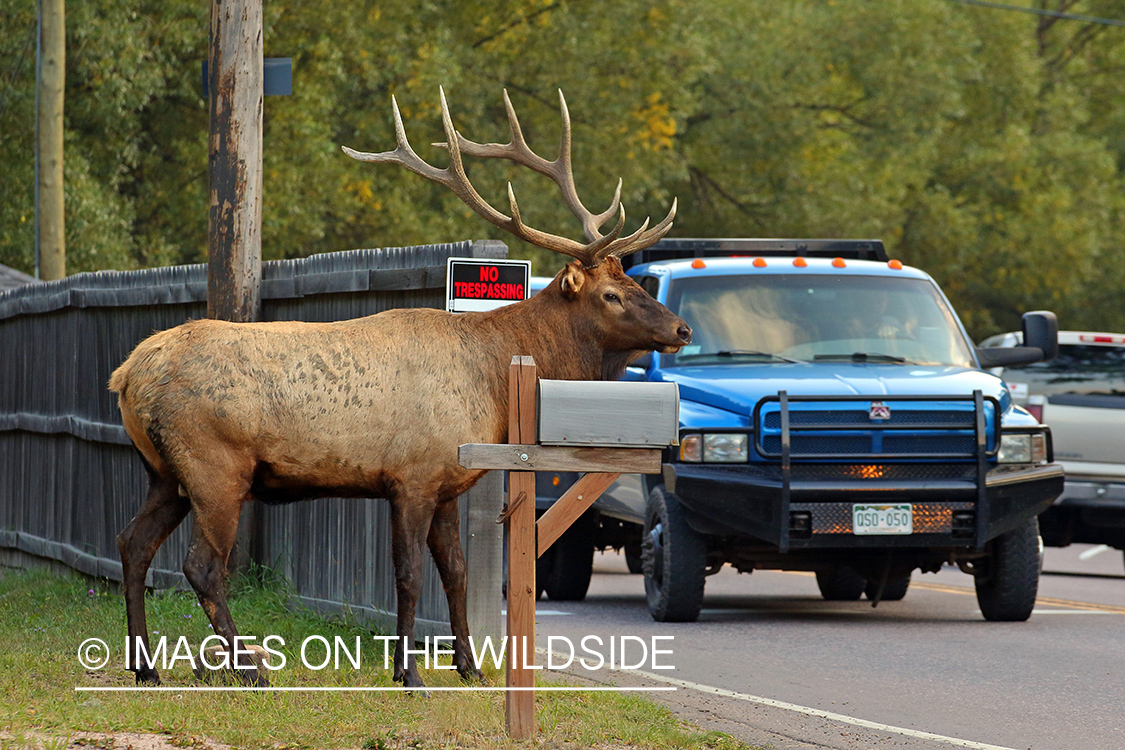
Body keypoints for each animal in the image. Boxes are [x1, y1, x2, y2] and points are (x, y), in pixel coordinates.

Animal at [116, 86, 693, 688]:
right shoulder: (410, 475)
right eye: (611, 294)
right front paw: (408, 673)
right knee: (201, 565)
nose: (682, 329)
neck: (491, 382)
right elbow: (411, 574)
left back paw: (146, 667)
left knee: (132, 545)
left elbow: (456, 572)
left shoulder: (445, 481)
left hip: (164, 472)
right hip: (215, 465)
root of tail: (127, 373)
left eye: (634, 283)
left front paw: (470, 668)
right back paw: (251, 670)